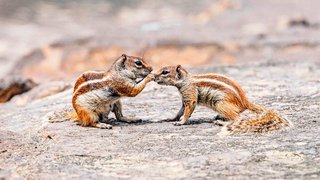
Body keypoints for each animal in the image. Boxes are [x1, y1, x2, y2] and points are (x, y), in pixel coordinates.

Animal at [154, 65, 292, 134]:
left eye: (165, 72)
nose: (154, 76)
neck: (186, 80)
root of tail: (245, 102)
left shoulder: (190, 95)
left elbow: (188, 111)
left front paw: (181, 122)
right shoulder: (184, 99)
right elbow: (180, 111)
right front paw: (172, 118)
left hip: (220, 104)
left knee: (238, 118)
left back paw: (221, 122)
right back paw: (220, 117)